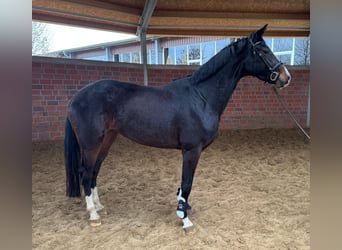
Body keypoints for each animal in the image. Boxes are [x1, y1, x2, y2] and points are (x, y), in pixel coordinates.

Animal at [65, 24, 292, 229]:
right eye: (264, 51)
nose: (286, 77)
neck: (201, 97)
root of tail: (76, 98)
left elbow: (185, 185)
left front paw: (184, 208)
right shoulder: (191, 150)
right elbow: (187, 183)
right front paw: (184, 218)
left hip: (107, 140)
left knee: (94, 171)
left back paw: (99, 206)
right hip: (91, 144)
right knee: (85, 173)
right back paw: (93, 215)